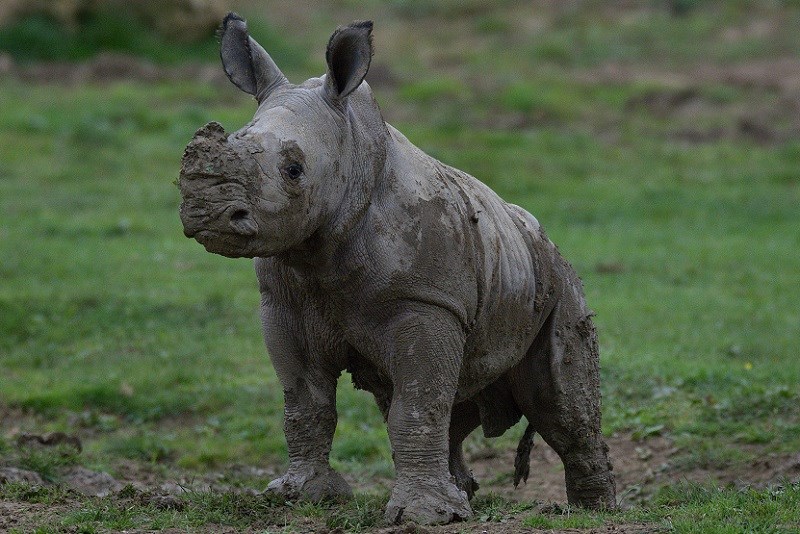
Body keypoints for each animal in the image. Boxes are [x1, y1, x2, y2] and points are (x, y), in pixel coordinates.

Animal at [178, 13, 616, 525]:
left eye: (293, 169)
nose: (208, 212)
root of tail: (544, 238)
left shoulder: (425, 302)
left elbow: (418, 404)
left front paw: (423, 516)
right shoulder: (284, 306)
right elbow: (307, 403)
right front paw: (301, 494)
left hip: (558, 279)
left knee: (559, 405)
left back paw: (593, 511)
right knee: (444, 400)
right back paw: (461, 496)